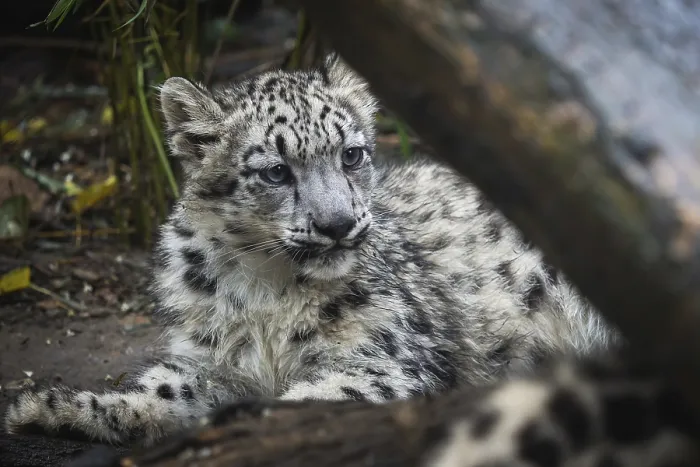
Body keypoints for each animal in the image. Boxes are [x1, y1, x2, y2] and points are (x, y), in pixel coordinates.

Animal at [5, 54, 622, 449]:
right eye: (276, 171)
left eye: (352, 154)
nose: (338, 224)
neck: (266, 290)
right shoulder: (207, 360)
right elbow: (158, 390)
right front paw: (48, 409)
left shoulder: (390, 364)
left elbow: (313, 397)